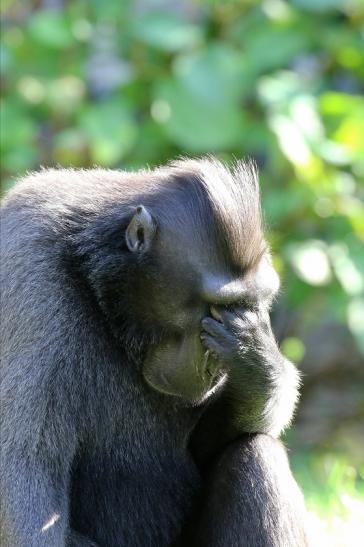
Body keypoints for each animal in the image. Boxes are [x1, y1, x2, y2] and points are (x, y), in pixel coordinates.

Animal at [0, 156, 308, 544]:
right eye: (216, 307)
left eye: (250, 304)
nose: (216, 368)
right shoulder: (30, 277)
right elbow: (24, 462)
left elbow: (209, 444)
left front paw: (257, 369)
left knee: (256, 453)